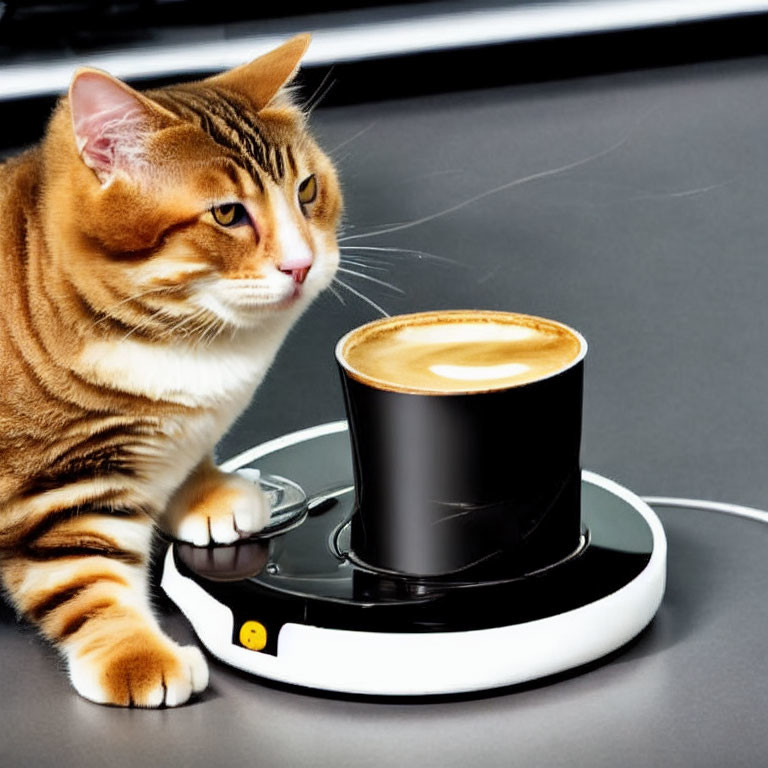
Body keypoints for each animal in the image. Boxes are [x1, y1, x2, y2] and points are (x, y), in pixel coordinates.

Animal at [0, 34, 342, 708]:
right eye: (228, 215)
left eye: (307, 190)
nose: (301, 263)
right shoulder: (56, 487)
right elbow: (84, 580)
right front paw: (135, 654)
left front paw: (207, 491)